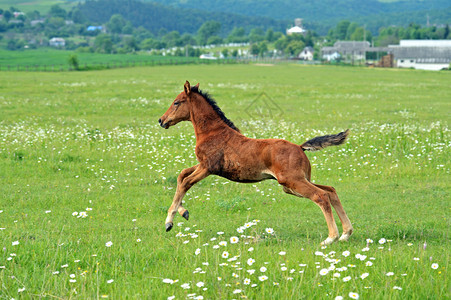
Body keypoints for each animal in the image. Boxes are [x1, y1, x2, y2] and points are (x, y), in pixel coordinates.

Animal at [159, 81, 354, 245]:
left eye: (177, 102)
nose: (162, 120)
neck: (212, 132)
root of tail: (300, 147)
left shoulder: (208, 167)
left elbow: (185, 182)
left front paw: (169, 222)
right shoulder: (201, 165)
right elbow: (181, 175)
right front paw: (184, 212)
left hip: (292, 181)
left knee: (321, 196)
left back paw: (331, 238)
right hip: (296, 182)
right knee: (331, 191)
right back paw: (346, 234)